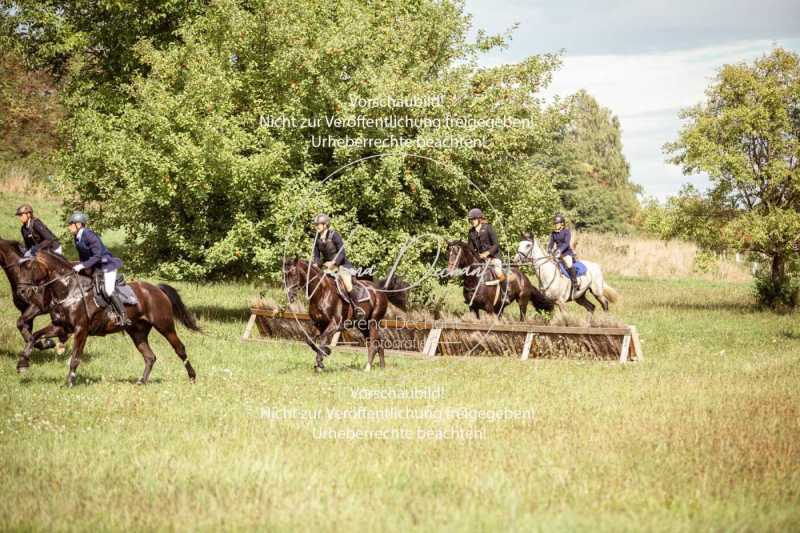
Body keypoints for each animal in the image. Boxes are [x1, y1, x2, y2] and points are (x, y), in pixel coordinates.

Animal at [16, 250, 200, 386]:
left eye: (30, 267)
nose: (22, 292)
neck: (69, 291)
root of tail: (156, 289)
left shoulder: (81, 330)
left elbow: (75, 358)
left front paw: (70, 382)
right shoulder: (61, 327)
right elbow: (33, 337)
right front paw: (22, 364)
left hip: (164, 325)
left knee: (180, 349)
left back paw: (192, 377)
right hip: (137, 332)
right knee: (149, 357)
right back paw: (141, 381)